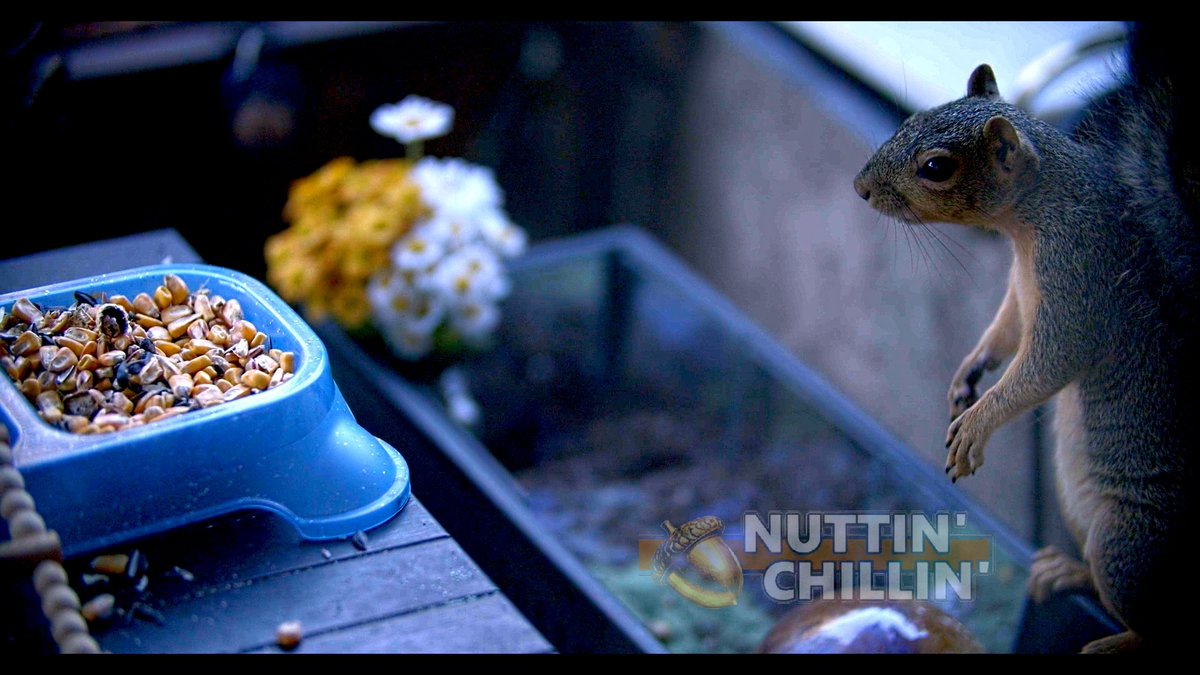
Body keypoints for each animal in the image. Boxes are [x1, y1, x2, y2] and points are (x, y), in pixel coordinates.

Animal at [853, 22, 1196, 654]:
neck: (1035, 218)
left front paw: (978, 423)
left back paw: (1112, 642)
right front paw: (968, 374)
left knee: (1158, 622)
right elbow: (1005, 330)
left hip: (1128, 542)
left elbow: (1048, 365)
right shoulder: (1020, 289)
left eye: (936, 167)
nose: (860, 188)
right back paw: (1066, 571)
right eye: (913, 117)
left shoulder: (1080, 283)